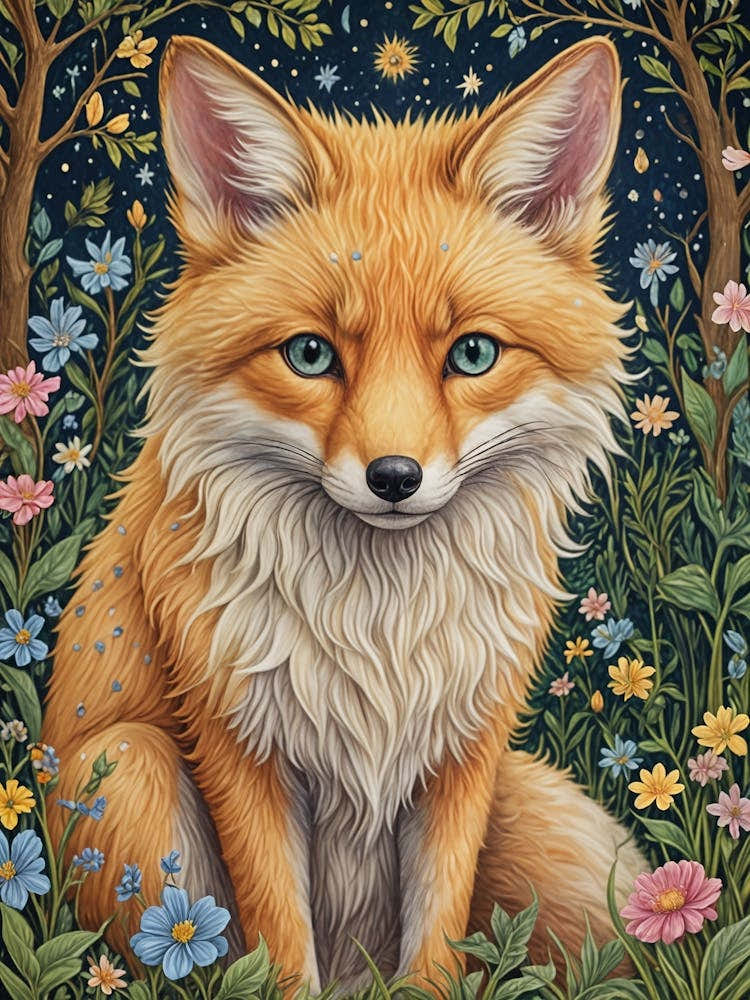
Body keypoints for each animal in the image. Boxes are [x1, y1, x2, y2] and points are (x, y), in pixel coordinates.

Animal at [44, 33, 645, 991]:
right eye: (310, 355)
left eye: (473, 354)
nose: (394, 476)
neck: (377, 629)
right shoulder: (241, 747)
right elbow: (281, 948)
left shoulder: (462, 753)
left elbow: (437, 942)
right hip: (132, 770)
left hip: (558, 840)